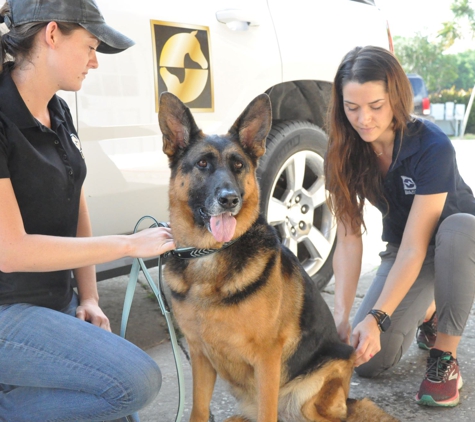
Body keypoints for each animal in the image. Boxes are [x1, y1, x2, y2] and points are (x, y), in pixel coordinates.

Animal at [160, 93, 398, 422]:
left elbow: (266, 412)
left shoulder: (267, 360)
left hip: (315, 391)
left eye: (238, 165)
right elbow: (198, 409)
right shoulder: (199, 356)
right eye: (203, 163)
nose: (230, 199)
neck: (210, 253)